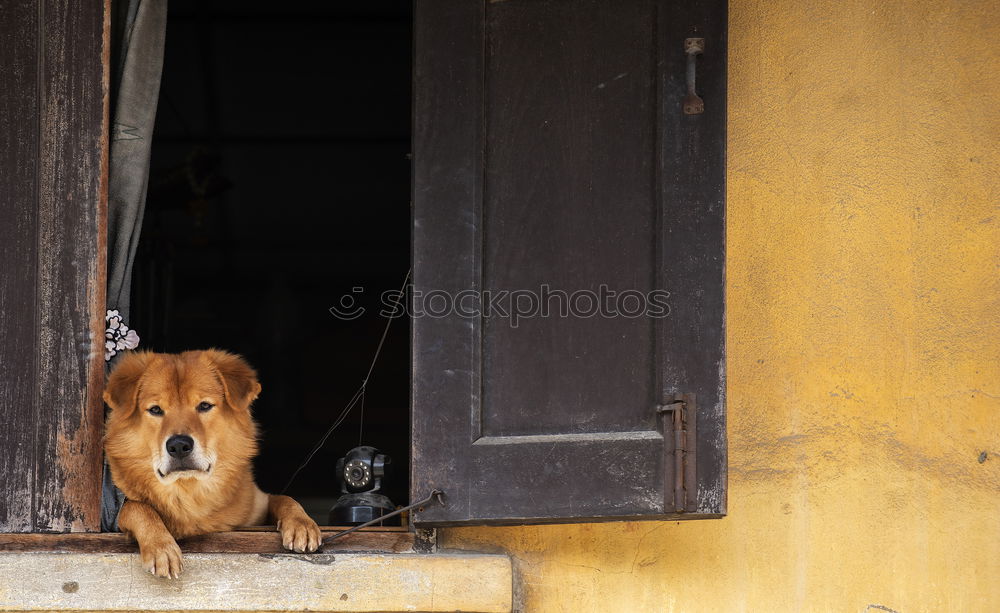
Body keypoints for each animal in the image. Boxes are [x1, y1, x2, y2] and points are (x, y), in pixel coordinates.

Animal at [102, 350, 320, 580]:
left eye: (204, 406)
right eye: (155, 410)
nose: (179, 445)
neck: (188, 491)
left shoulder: (257, 508)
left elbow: (284, 498)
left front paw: (302, 523)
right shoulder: (113, 516)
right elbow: (138, 507)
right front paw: (161, 547)